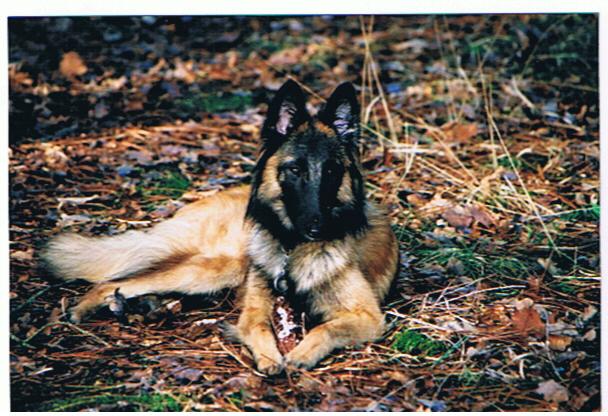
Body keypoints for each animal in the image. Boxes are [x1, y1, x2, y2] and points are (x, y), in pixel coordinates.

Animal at [42, 80, 399, 374]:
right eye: (295, 169)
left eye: (331, 171)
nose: (317, 227)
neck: (291, 248)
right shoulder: (255, 308)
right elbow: (258, 327)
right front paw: (270, 358)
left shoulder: (368, 317)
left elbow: (326, 327)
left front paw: (300, 354)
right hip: (218, 267)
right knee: (112, 282)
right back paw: (81, 311)